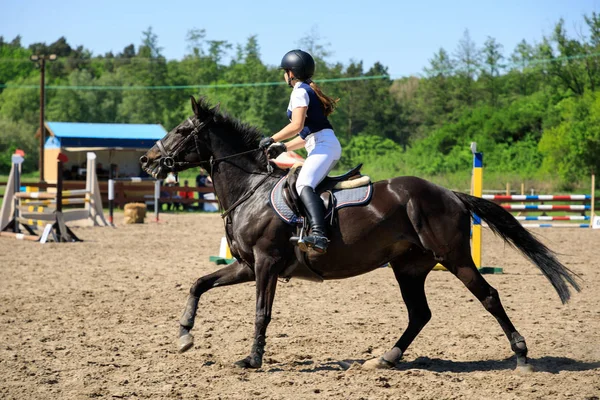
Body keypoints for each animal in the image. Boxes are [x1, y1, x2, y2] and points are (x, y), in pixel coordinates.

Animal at [141, 96, 580, 372]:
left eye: (180, 130)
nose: (147, 160)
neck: (252, 190)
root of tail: (449, 193)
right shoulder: (246, 266)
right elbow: (199, 283)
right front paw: (184, 336)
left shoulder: (265, 264)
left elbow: (261, 312)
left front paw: (252, 361)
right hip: (408, 267)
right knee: (420, 313)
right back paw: (385, 358)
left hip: (453, 258)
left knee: (489, 297)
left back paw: (521, 357)